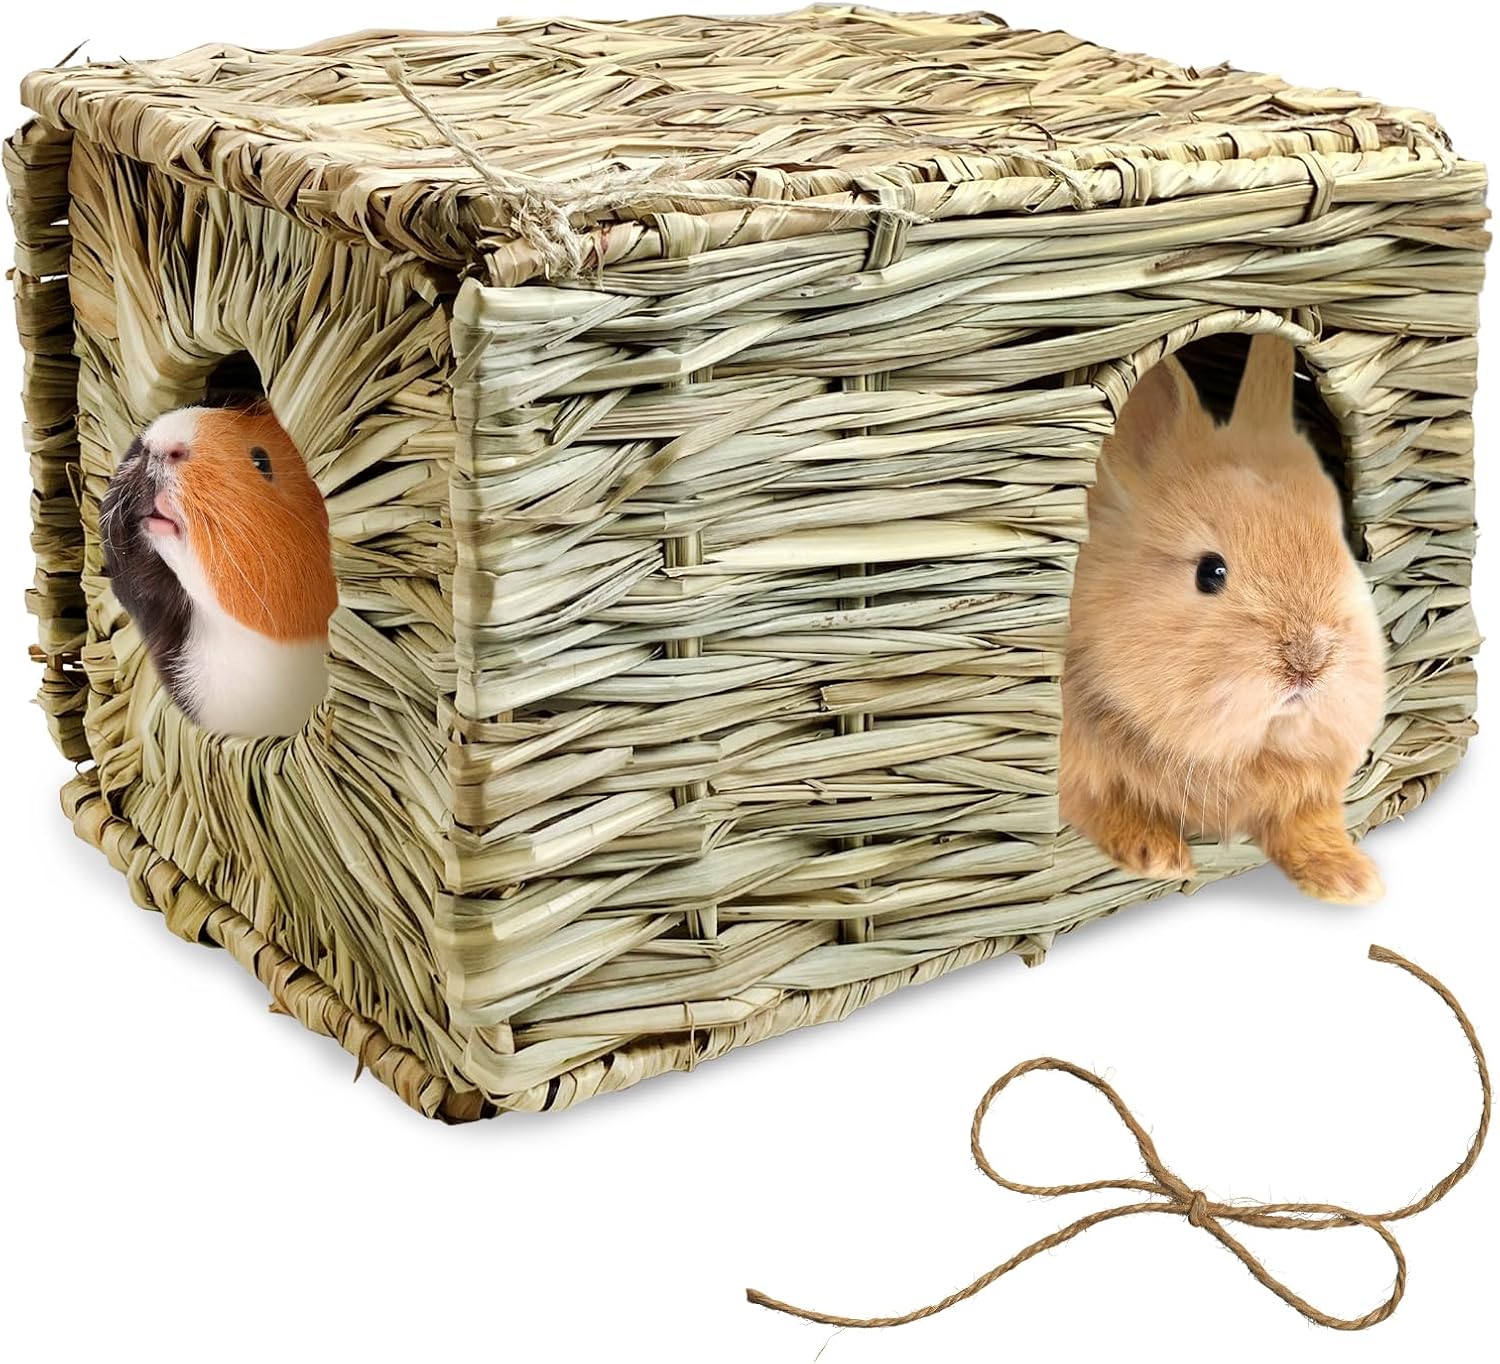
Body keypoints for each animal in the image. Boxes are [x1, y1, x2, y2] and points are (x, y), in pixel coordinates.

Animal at [1060, 335, 1387, 904]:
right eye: (1210, 572)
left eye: (1342, 543)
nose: (1310, 660)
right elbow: (1100, 805)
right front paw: (1159, 856)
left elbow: (1308, 824)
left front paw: (1349, 879)